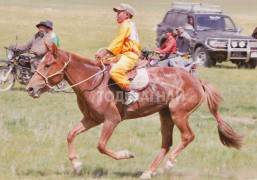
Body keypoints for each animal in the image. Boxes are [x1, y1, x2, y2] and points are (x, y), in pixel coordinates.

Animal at [26, 43, 242, 179]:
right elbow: (71, 134)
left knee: (188, 137)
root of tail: (197, 81)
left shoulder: (111, 120)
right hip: (165, 115)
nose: (30, 88)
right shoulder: (91, 119)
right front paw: (76, 165)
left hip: (178, 113)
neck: (92, 81)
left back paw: (169, 164)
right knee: (166, 143)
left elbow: (101, 146)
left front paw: (125, 154)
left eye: (47, 65)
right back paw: (148, 172)